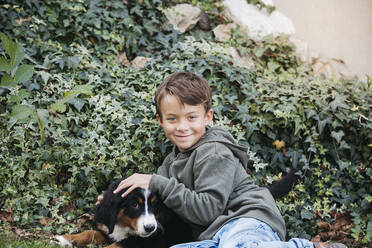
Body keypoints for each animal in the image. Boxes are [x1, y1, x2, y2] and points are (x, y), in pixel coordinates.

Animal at [55, 169, 300, 248]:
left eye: (155, 206)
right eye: (134, 204)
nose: (150, 228)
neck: (127, 226)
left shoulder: (145, 244)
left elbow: (113, 247)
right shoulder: (111, 229)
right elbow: (92, 232)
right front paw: (66, 238)